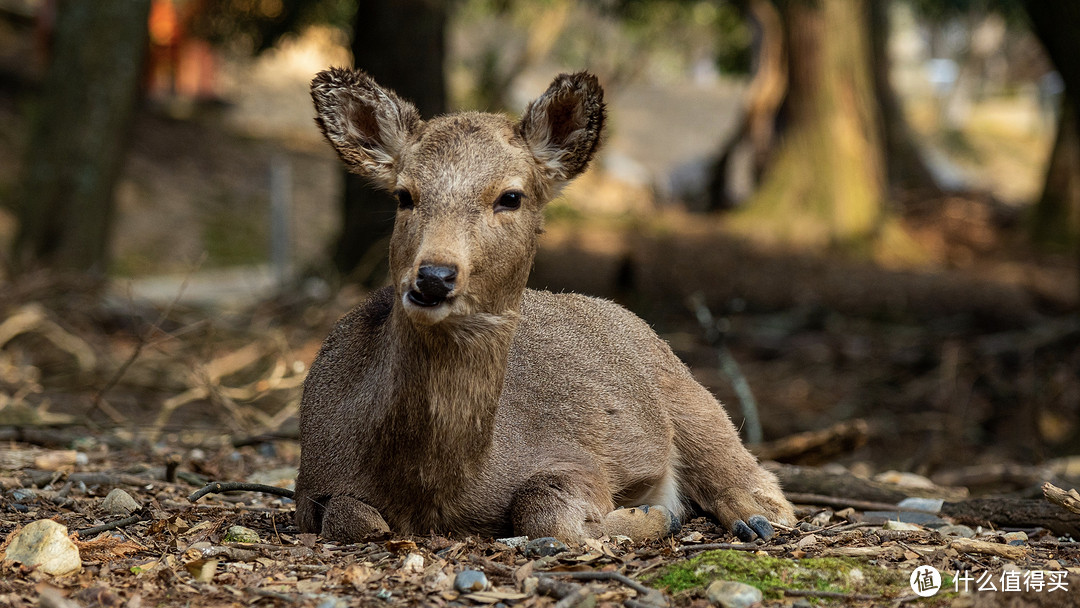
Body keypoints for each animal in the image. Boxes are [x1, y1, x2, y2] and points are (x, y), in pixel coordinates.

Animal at [293, 67, 794, 546]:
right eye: (404, 195)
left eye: (511, 197)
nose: (434, 277)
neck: (432, 491)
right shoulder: (308, 482)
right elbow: (347, 516)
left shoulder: (574, 457)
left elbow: (541, 509)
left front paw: (648, 517)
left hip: (690, 395)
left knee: (747, 469)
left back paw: (755, 516)